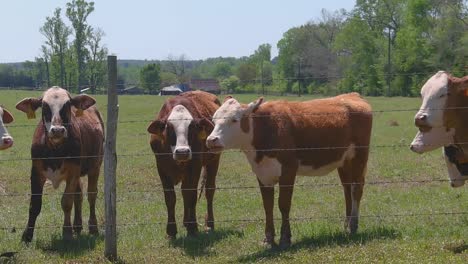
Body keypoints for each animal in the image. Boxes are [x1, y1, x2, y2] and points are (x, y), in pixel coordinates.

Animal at [15, 86, 104, 241]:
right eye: (44, 106)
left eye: (68, 105)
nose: (57, 130)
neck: (54, 150)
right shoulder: (36, 172)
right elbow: (35, 205)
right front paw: (27, 235)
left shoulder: (73, 172)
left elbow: (67, 202)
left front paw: (67, 232)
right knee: (79, 195)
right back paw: (77, 225)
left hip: (95, 166)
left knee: (91, 195)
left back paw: (92, 227)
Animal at [148, 90, 223, 237]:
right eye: (169, 127)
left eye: (192, 127)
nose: (182, 152)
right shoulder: (161, 167)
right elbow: (170, 198)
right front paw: (171, 230)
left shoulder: (195, 166)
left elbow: (191, 195)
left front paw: (193, 227)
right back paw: (185, 222)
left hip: (213, 161)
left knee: (209, 191)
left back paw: (209, 223)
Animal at [206, 93, 372, 248]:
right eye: (214, 120)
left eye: (234, 119)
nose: (211, 140)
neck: (265, 129)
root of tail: (351, 95)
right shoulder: (262, 173)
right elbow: (268, 206)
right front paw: (268, 239)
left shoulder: (288, 171)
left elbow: (283, 204)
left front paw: (285, 238)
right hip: (344, 161)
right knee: (347, 189)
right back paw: (346, 225)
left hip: (360, 156)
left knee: (356, 189)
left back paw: (353, 225)